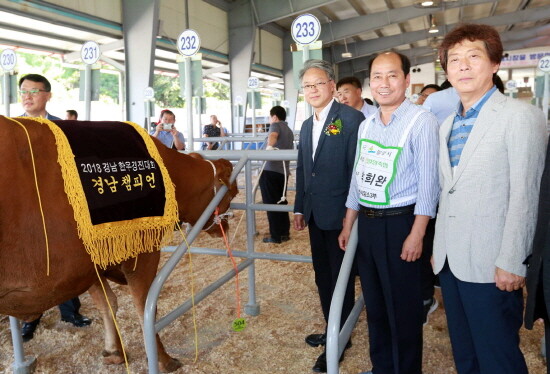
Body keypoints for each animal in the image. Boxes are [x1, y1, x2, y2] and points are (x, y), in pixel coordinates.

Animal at [0, 117, 238, 372]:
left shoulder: (89, 261)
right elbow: (144, 308)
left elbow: (107, 303)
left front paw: (114, 351)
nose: (225, 226)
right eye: (231, 194)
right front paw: (163, 360)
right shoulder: (141, 252)